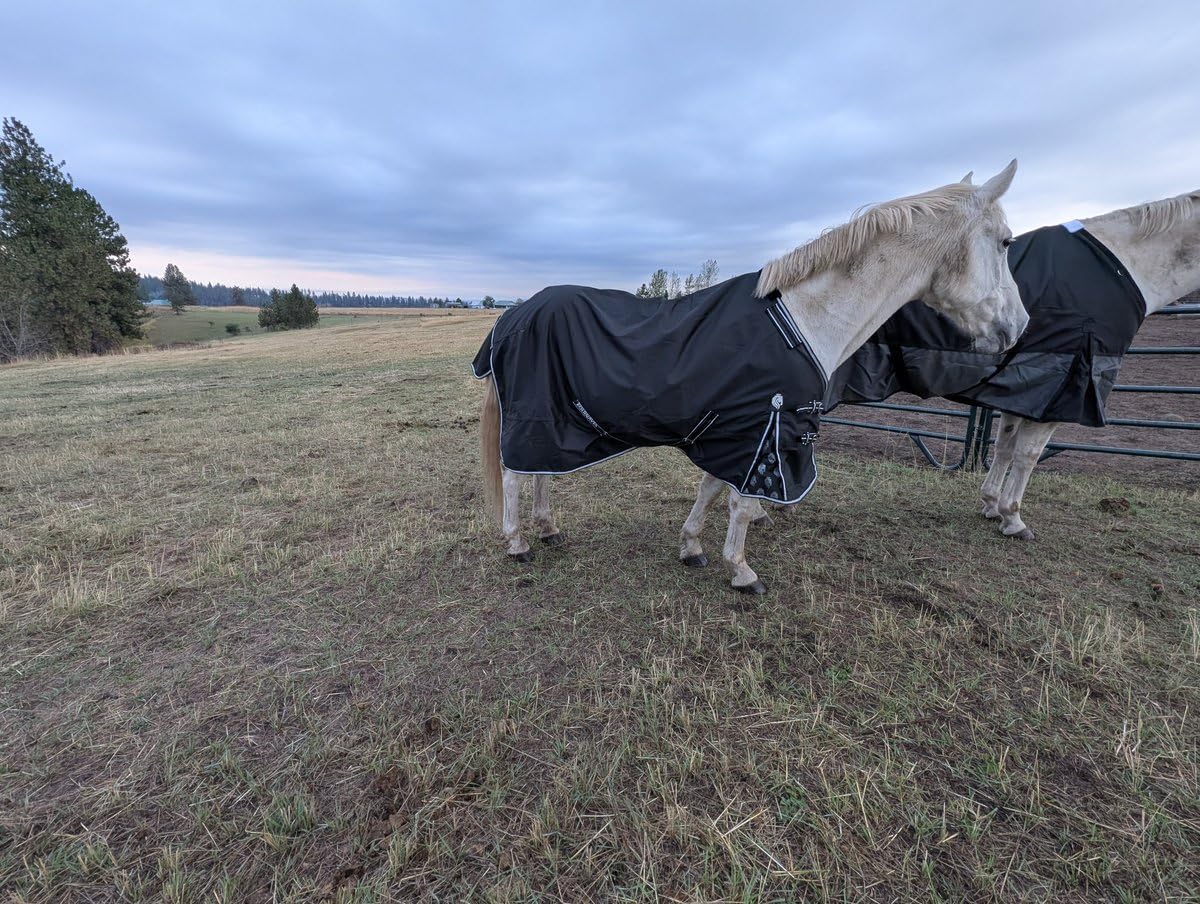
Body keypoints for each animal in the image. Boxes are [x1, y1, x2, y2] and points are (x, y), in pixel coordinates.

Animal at [477, 162, 1028, 593]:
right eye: (1005, 243)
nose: (1018, 327)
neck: (804, 321)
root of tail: (515, 312)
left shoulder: (737, 433)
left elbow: (712, 490)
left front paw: (692, 548)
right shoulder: (767, 431)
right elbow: (741, 504)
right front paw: (741, 571)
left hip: (557, 421)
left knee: (541, 471)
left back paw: (548, 529)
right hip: (533, 414)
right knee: (514, 473)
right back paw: (518, 542)